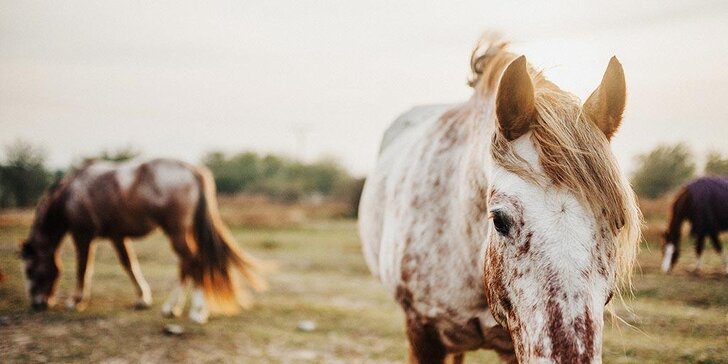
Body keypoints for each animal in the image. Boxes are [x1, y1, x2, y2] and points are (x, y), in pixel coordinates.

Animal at [20, 158, 268, 322]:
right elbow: (129, 264)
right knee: (186, 264)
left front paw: (75, 301)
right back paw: (172, 308)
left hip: (176, 232)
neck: (71, 193)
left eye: (30, 270)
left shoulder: (83, 235)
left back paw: (197, 312)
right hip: (179, 233)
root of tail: (190, 170)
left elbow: (83, 268)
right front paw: (142, 299)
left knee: (193, 262)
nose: (37, 303)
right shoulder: (117, 236)